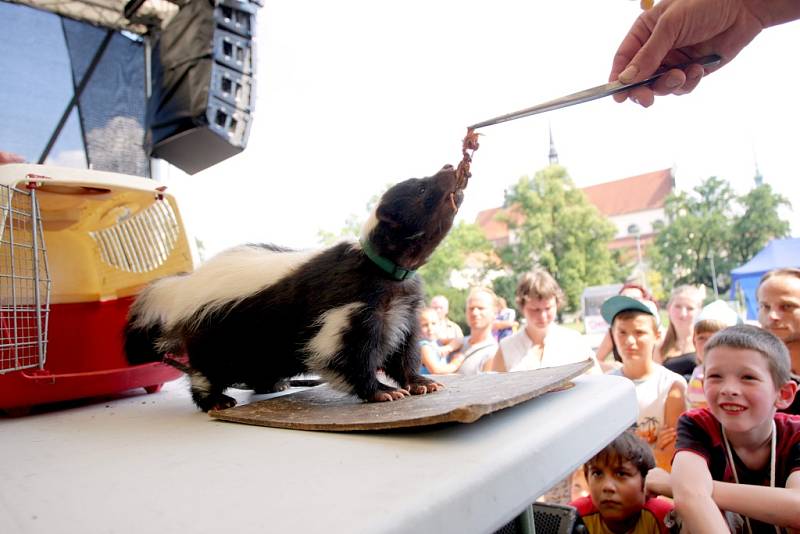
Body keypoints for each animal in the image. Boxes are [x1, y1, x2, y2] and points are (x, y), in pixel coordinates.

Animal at [122, 165, 466, 412]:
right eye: (423, 189)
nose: (450, 167)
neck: (385, 270)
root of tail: (183, 287)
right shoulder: (348, 307)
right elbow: (342, 355)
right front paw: (382, 391)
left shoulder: (402, 313)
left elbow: (403, 352)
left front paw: (420, 382)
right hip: (212, 336)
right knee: (206, 372)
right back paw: (216, 400)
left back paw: (272, 385)